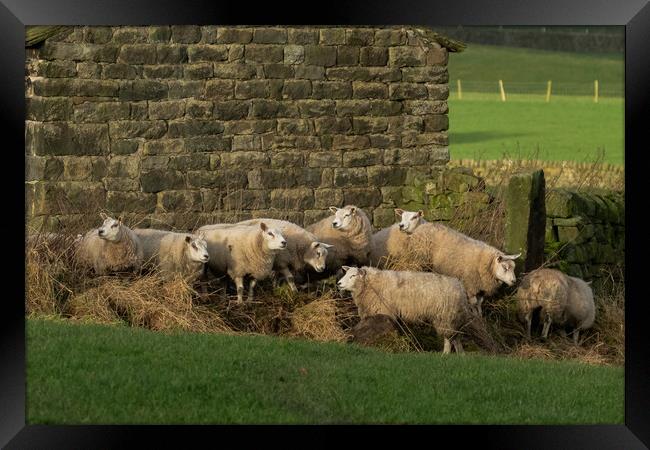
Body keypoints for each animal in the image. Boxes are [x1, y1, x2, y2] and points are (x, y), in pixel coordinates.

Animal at [334, 264, 470, 356]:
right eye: (346, 274)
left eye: (353, 275)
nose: (339, 284)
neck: (369, 285)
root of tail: (459, 286)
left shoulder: (384, 311)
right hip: (448, 317)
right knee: (454, 336)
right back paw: (458, 354)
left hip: (445, 315)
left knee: (449, 337)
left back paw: (445, 354)